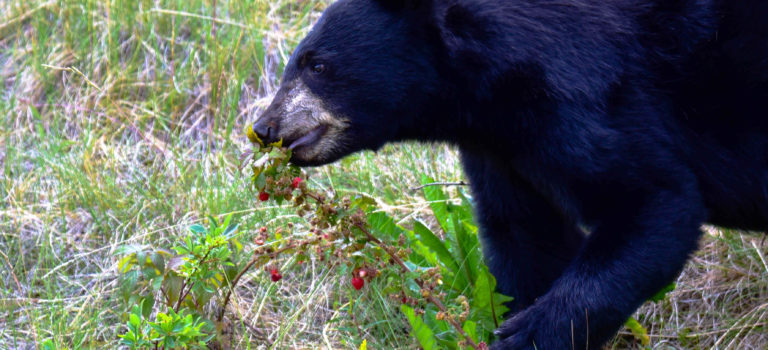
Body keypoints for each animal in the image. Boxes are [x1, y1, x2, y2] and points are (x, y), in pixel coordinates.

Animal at [252, 1, 768, 348]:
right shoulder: (501, 146)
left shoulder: (589, 101)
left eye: (318, 64)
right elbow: (527, 236)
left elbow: (654, 199)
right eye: (296, 62)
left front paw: (528, 335)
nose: (264, 128)